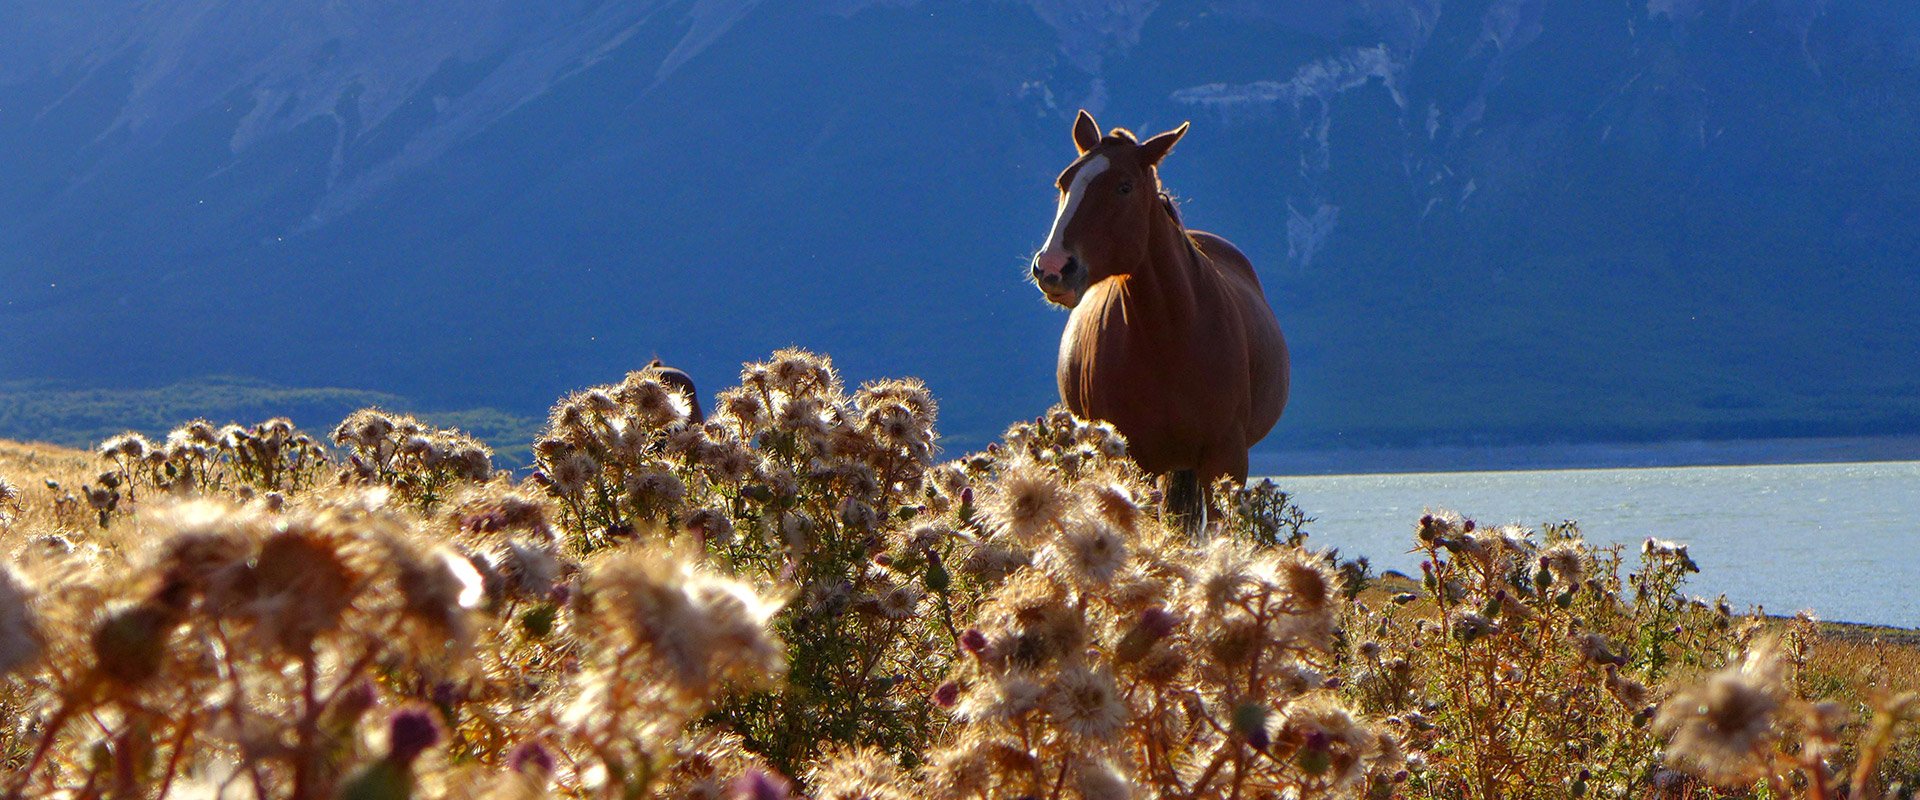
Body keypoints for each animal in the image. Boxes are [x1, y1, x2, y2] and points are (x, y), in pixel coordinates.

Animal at [1036, 105, 1290, 529]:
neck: (1170, 337)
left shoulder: (1226, 459)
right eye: (1063, 182)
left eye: (1124, 187)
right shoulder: (1133, 456)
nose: (1053, 267)